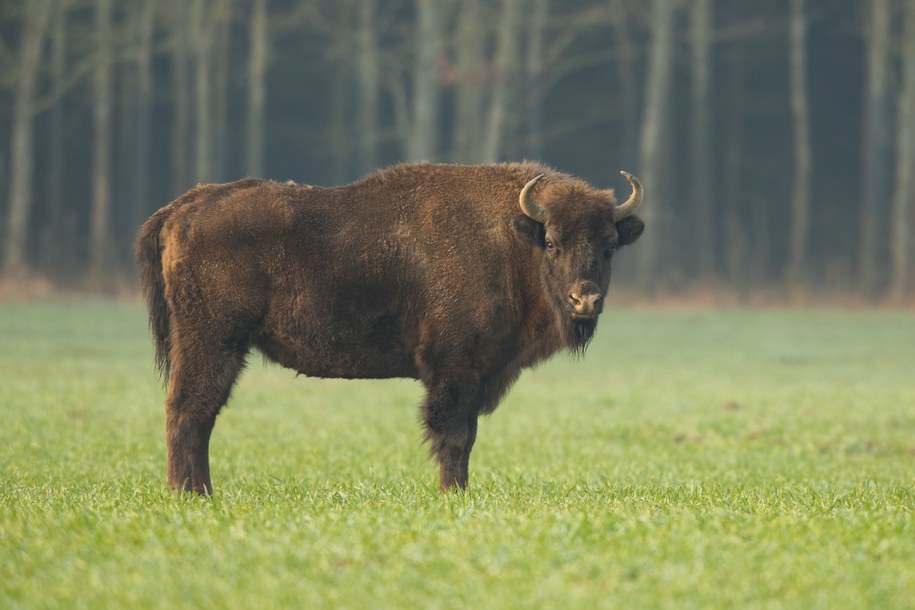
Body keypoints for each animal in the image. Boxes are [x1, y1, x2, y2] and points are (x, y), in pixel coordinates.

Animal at [136, 163, 644, 494]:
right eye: (553, 242)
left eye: (609, 246)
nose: (585, 299)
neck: (513, 238)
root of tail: (183, 207)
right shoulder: (453, 367)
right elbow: (453, 434)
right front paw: (452, 493)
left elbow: (466, 435)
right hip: (212, 340)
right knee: (188, 409)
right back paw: (188, 492)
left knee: (200, 414)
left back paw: (200, 491)